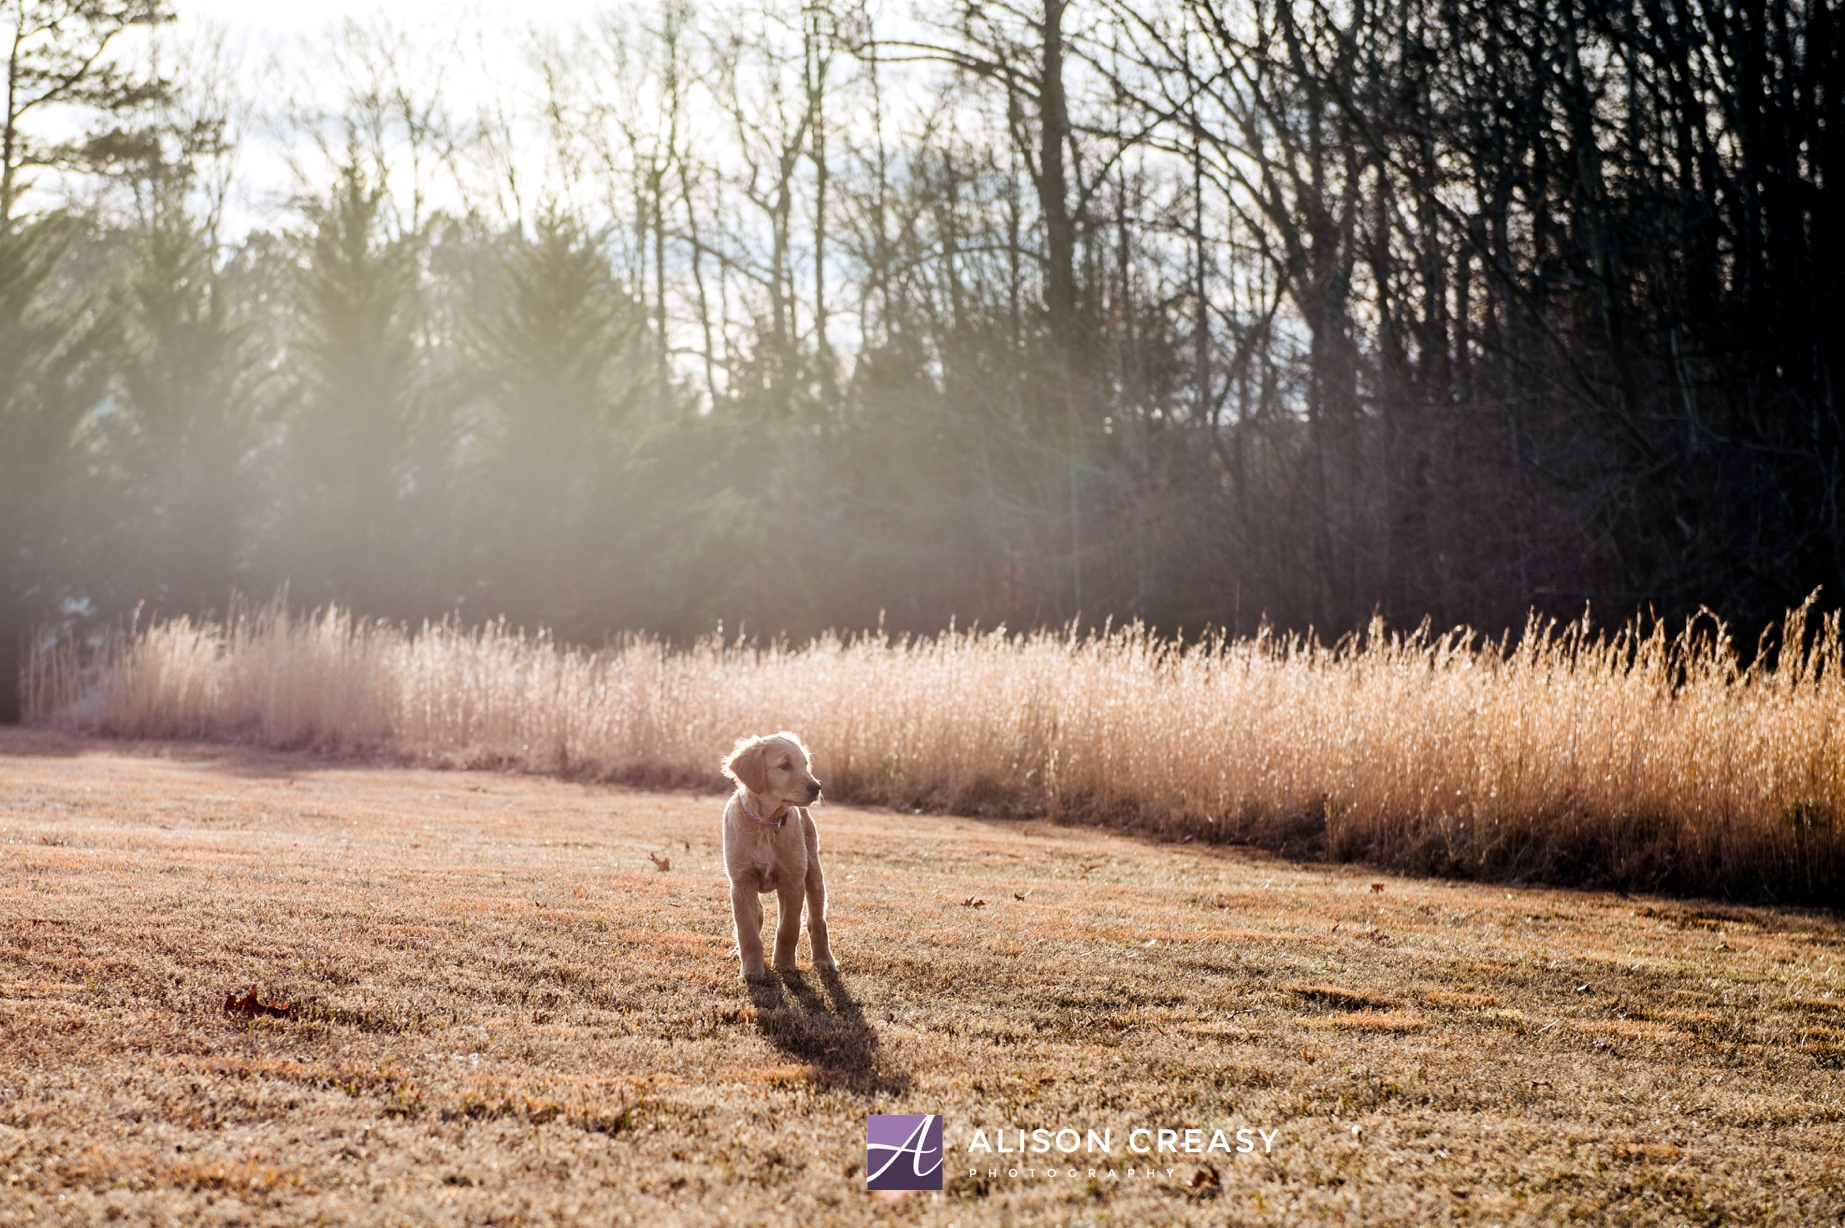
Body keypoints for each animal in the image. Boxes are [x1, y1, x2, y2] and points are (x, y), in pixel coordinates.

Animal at [719, 726, 837, 973]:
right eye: (785, 765)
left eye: (805, 764)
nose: (817, 787)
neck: (766, 823)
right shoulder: (741, 882)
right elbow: (747, 930)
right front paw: (752, 970)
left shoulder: (793, 881)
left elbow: (789, 927)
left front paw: (784, 965)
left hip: (813, 872)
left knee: (817, 920)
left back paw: (824, 959)